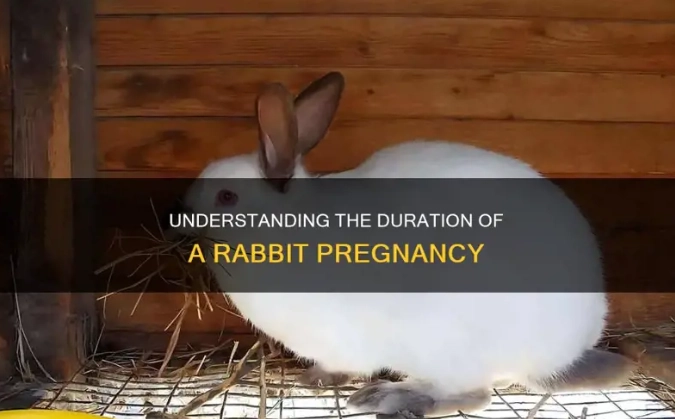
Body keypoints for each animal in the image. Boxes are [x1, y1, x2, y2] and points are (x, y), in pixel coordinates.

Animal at [167, 72, 636, 417]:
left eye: (227, 197)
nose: (179, 220)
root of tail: (561, 354)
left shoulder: (341, 339)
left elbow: (342, 364)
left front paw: (318, 379)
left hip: (445, 345)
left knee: (473, 395)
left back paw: (389, 397)